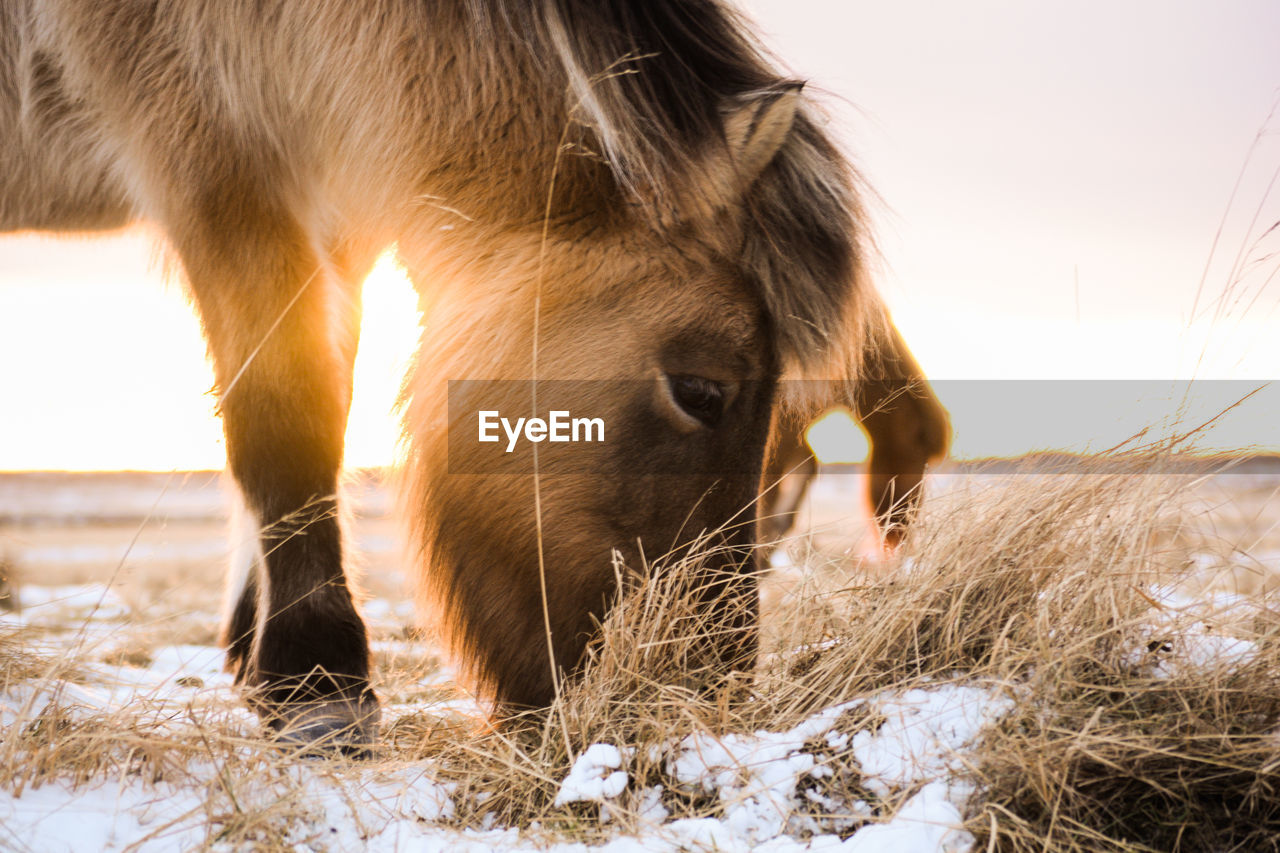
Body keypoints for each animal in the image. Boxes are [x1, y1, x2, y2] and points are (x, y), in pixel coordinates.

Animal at [0, 0, 942, 742]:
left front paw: (258, 652)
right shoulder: (217, 171)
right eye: (702, 391)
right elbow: (286, 411)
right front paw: (317, 674)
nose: (694, 689)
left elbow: (330, 400)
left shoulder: (335, 203)